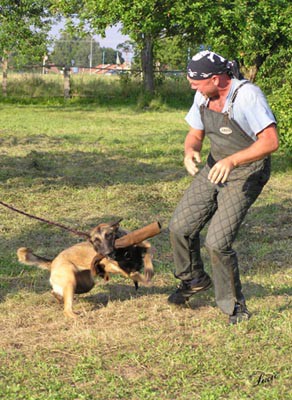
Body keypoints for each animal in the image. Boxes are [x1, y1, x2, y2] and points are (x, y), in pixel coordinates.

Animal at [16, 220, 154, 318]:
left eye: (109, 235)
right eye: (96, 241)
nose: (108, 253)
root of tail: (53, 261)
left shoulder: (141, 246)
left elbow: (148, 249)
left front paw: (148, 270)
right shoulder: (115, 266)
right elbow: (135, 275)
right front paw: (145, 278)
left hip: (85, 284)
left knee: (55, 292)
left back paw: (59, 298)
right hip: (71, 281)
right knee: (66, 309)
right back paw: (76, 315)